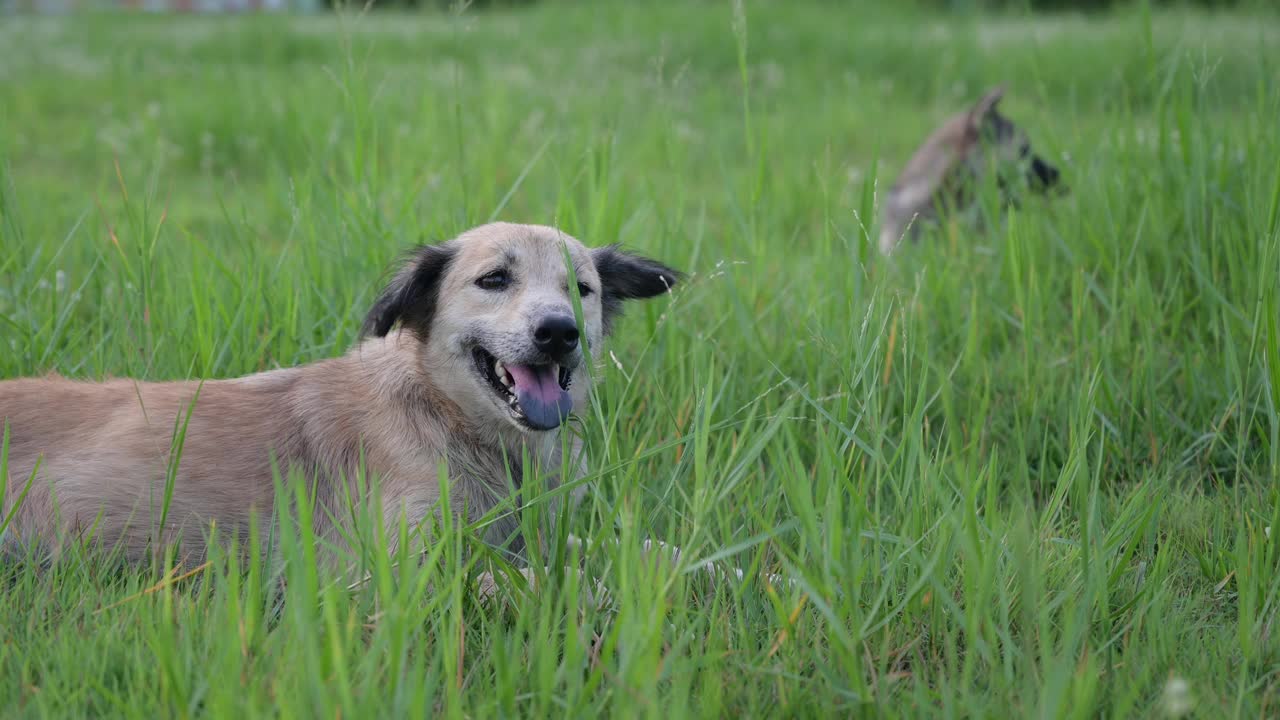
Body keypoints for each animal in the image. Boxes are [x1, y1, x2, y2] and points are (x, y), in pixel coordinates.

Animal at [0, 221, 680, 568]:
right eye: (493, 280)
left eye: (580, 289)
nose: (559, 332)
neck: (448, 416)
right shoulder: (402, 564)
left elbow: (632, 548)